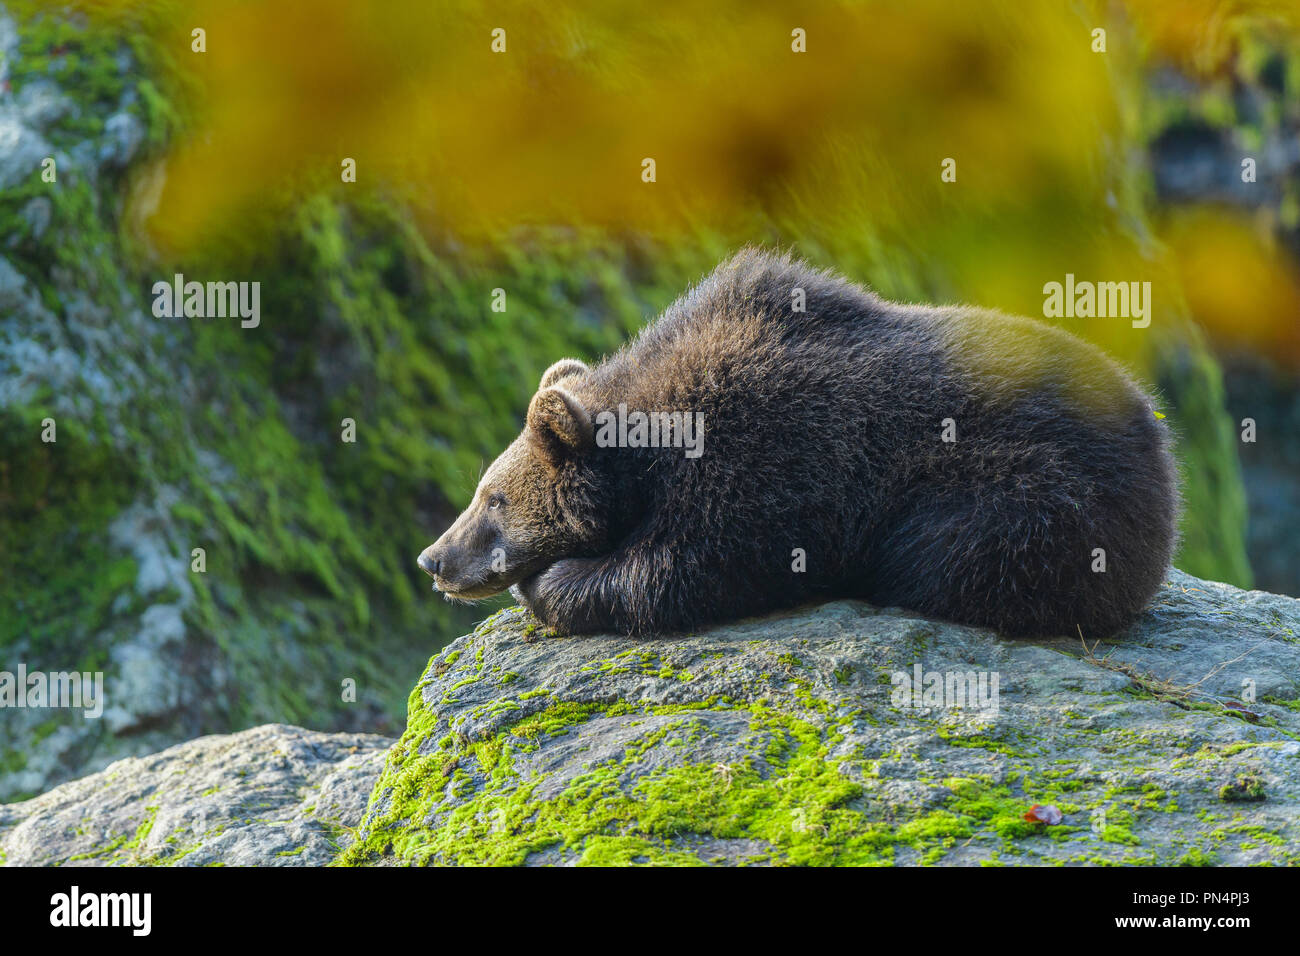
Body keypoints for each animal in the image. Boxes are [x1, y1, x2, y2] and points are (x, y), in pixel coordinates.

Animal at [418, 248, 1179, 639]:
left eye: (493, 499)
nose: (434, 559)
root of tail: (1161, 439)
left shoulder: (772, 462)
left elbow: (680, 569)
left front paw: (553, 583)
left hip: (1034, 493)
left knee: (951, 546)